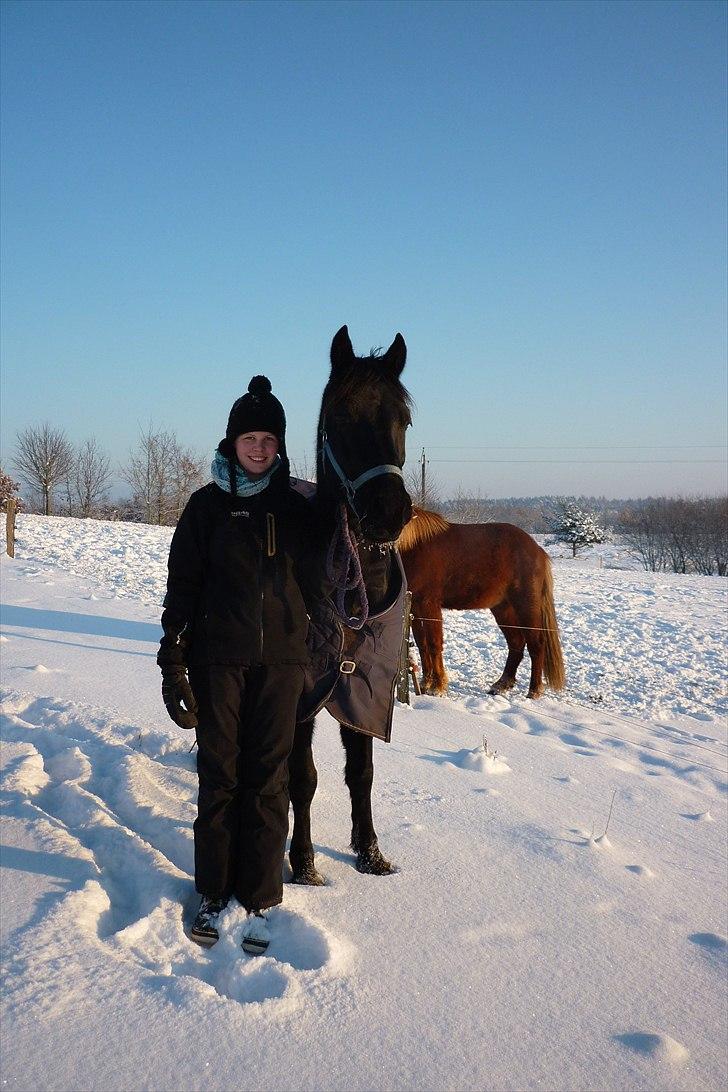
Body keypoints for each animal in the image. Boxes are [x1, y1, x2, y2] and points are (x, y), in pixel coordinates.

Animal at [399, 508, 563, 698]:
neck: (414, 545)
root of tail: (537, 550)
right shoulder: (415, 607)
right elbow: (422, 644)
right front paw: (425, 684)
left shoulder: (429, 604)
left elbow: (434, 643)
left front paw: (437, 687)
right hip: (503, 609)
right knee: (516, 643)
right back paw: (502, 684)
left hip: (526, 606)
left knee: (536, 644)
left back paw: (534, 690)